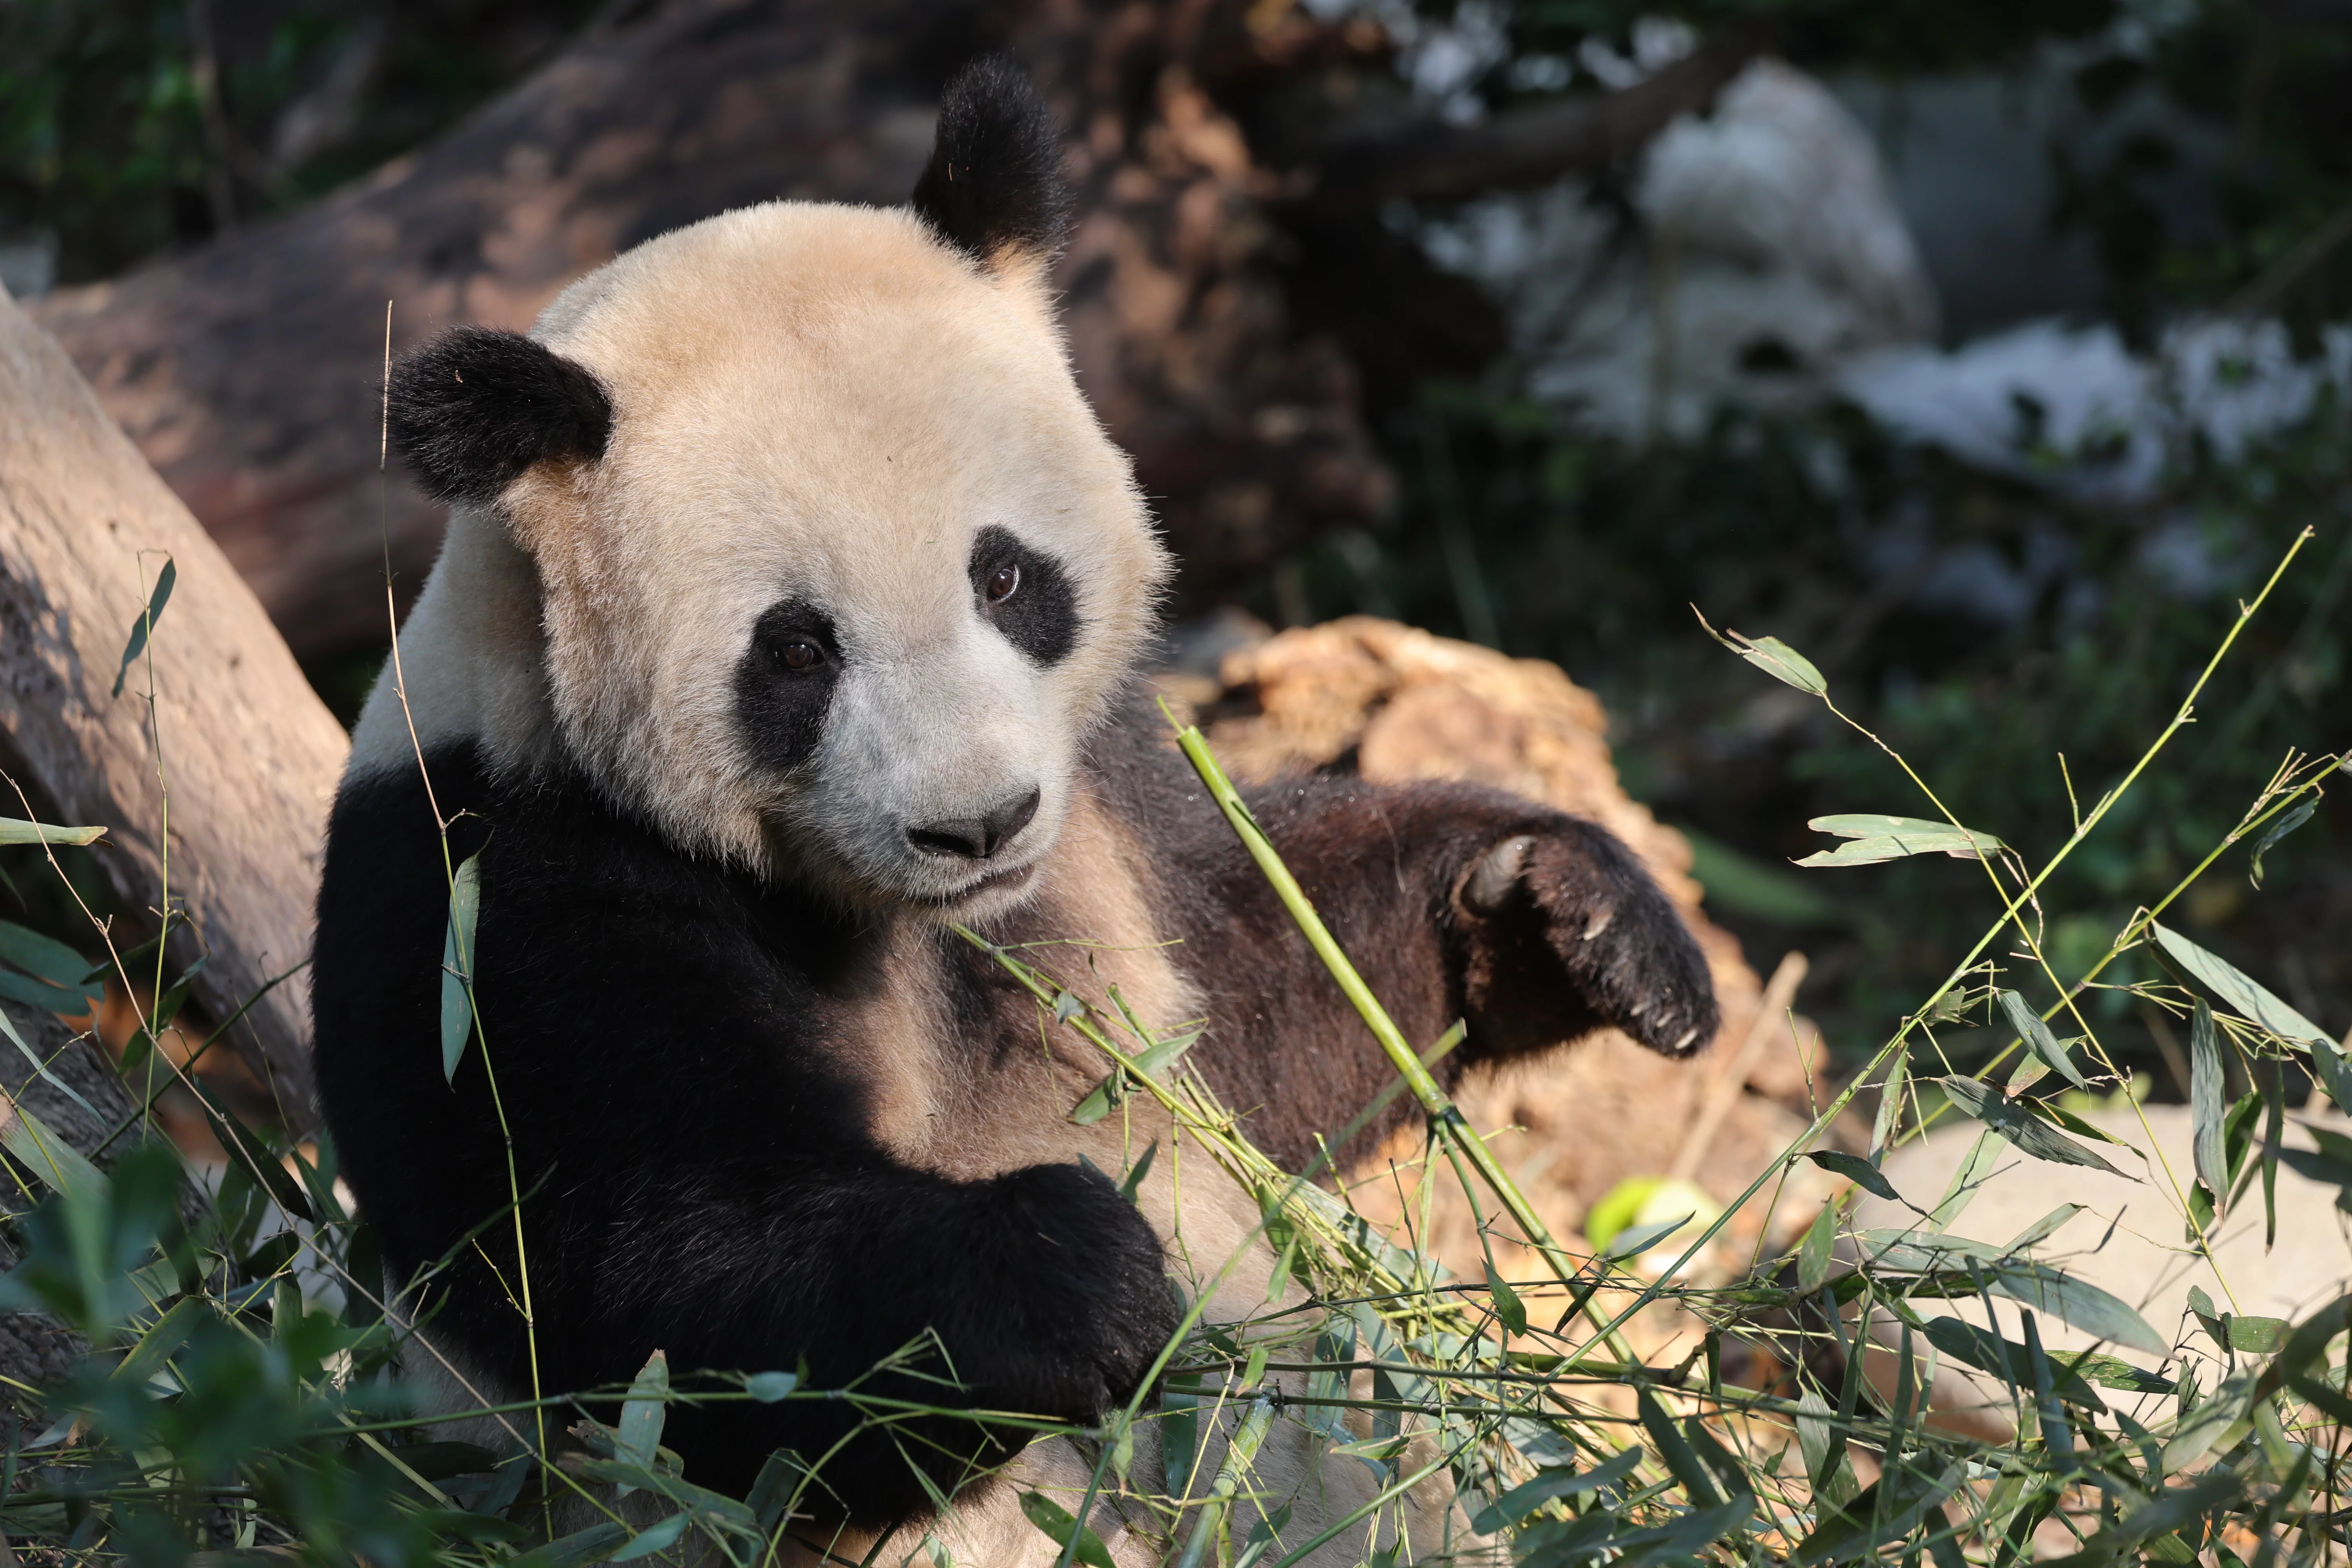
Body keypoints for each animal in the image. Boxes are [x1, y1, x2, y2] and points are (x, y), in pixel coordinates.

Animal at [312, 55, 1718, 1568]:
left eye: (1004, 576)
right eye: (794, 649)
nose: (976, 823)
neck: (907, 914)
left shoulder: (1105, 799)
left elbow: (1268, 1003)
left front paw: (1574, 916)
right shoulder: (500, 884)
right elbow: (634, 1279)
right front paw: (1073, 1277)